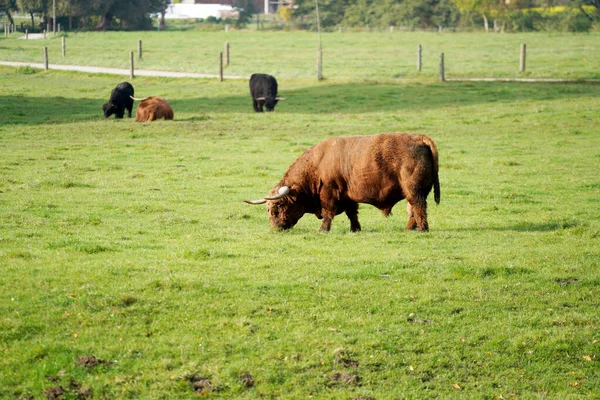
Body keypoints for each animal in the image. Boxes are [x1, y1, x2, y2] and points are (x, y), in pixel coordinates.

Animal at [245, 134, 440, 233]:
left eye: (277, 207)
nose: (275, 229)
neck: (317, 163)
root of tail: (419, 138)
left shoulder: (329, 193)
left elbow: (328, 213)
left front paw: (323, 229)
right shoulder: (348, 195)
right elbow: (352, 213)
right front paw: (355, 229)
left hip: (413, 190)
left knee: (418, 207)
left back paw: (422, 229)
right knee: (413, 209)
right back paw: (410, 228)